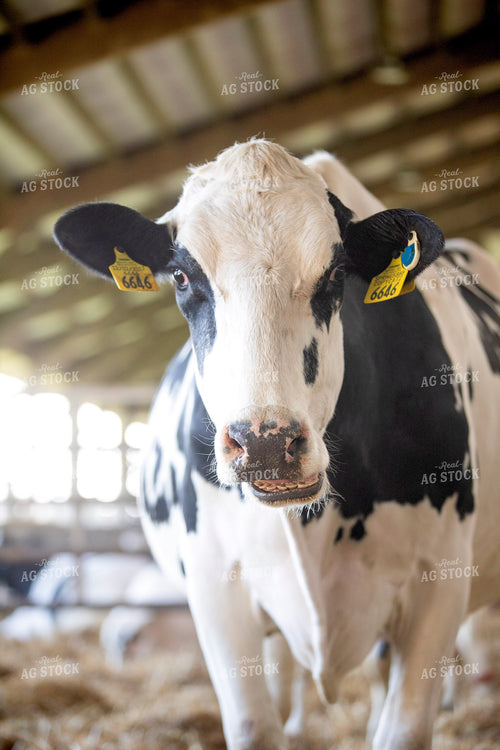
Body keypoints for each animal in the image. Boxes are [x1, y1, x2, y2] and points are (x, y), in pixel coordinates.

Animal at [53, 139, 500, 750]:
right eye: (181, 276)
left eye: (337, 271)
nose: (265, 443)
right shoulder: (217, 593)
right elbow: (254, 724)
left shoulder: (437, 587)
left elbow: (402, 726)